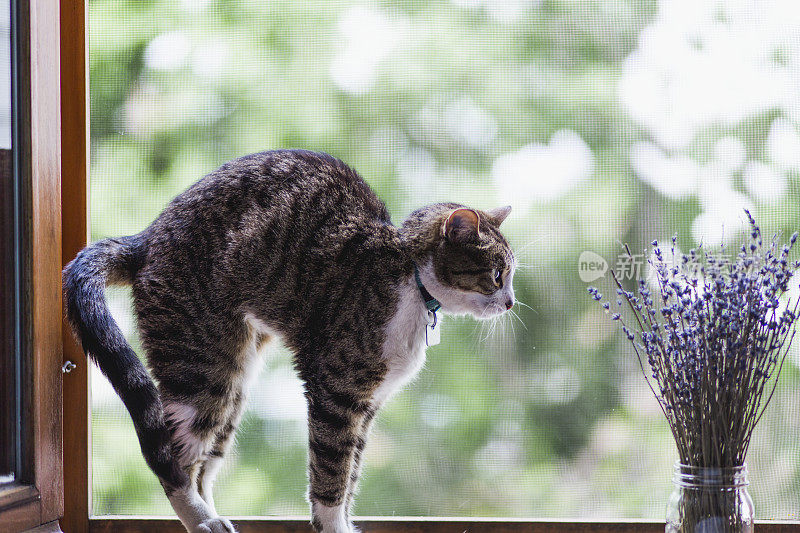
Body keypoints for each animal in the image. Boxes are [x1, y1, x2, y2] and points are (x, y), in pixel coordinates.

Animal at [62, 150, 516, 532]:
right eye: (497, 275)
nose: (511, 302)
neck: (409, 278)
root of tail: (148, 236)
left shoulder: (368, 405)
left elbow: (351, 473)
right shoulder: (337, 391)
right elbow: (331, 473)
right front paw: (332, 527)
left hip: (237, 377)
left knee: (204, 463)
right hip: (203, 370)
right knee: (172, 457)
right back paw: (201, 519)